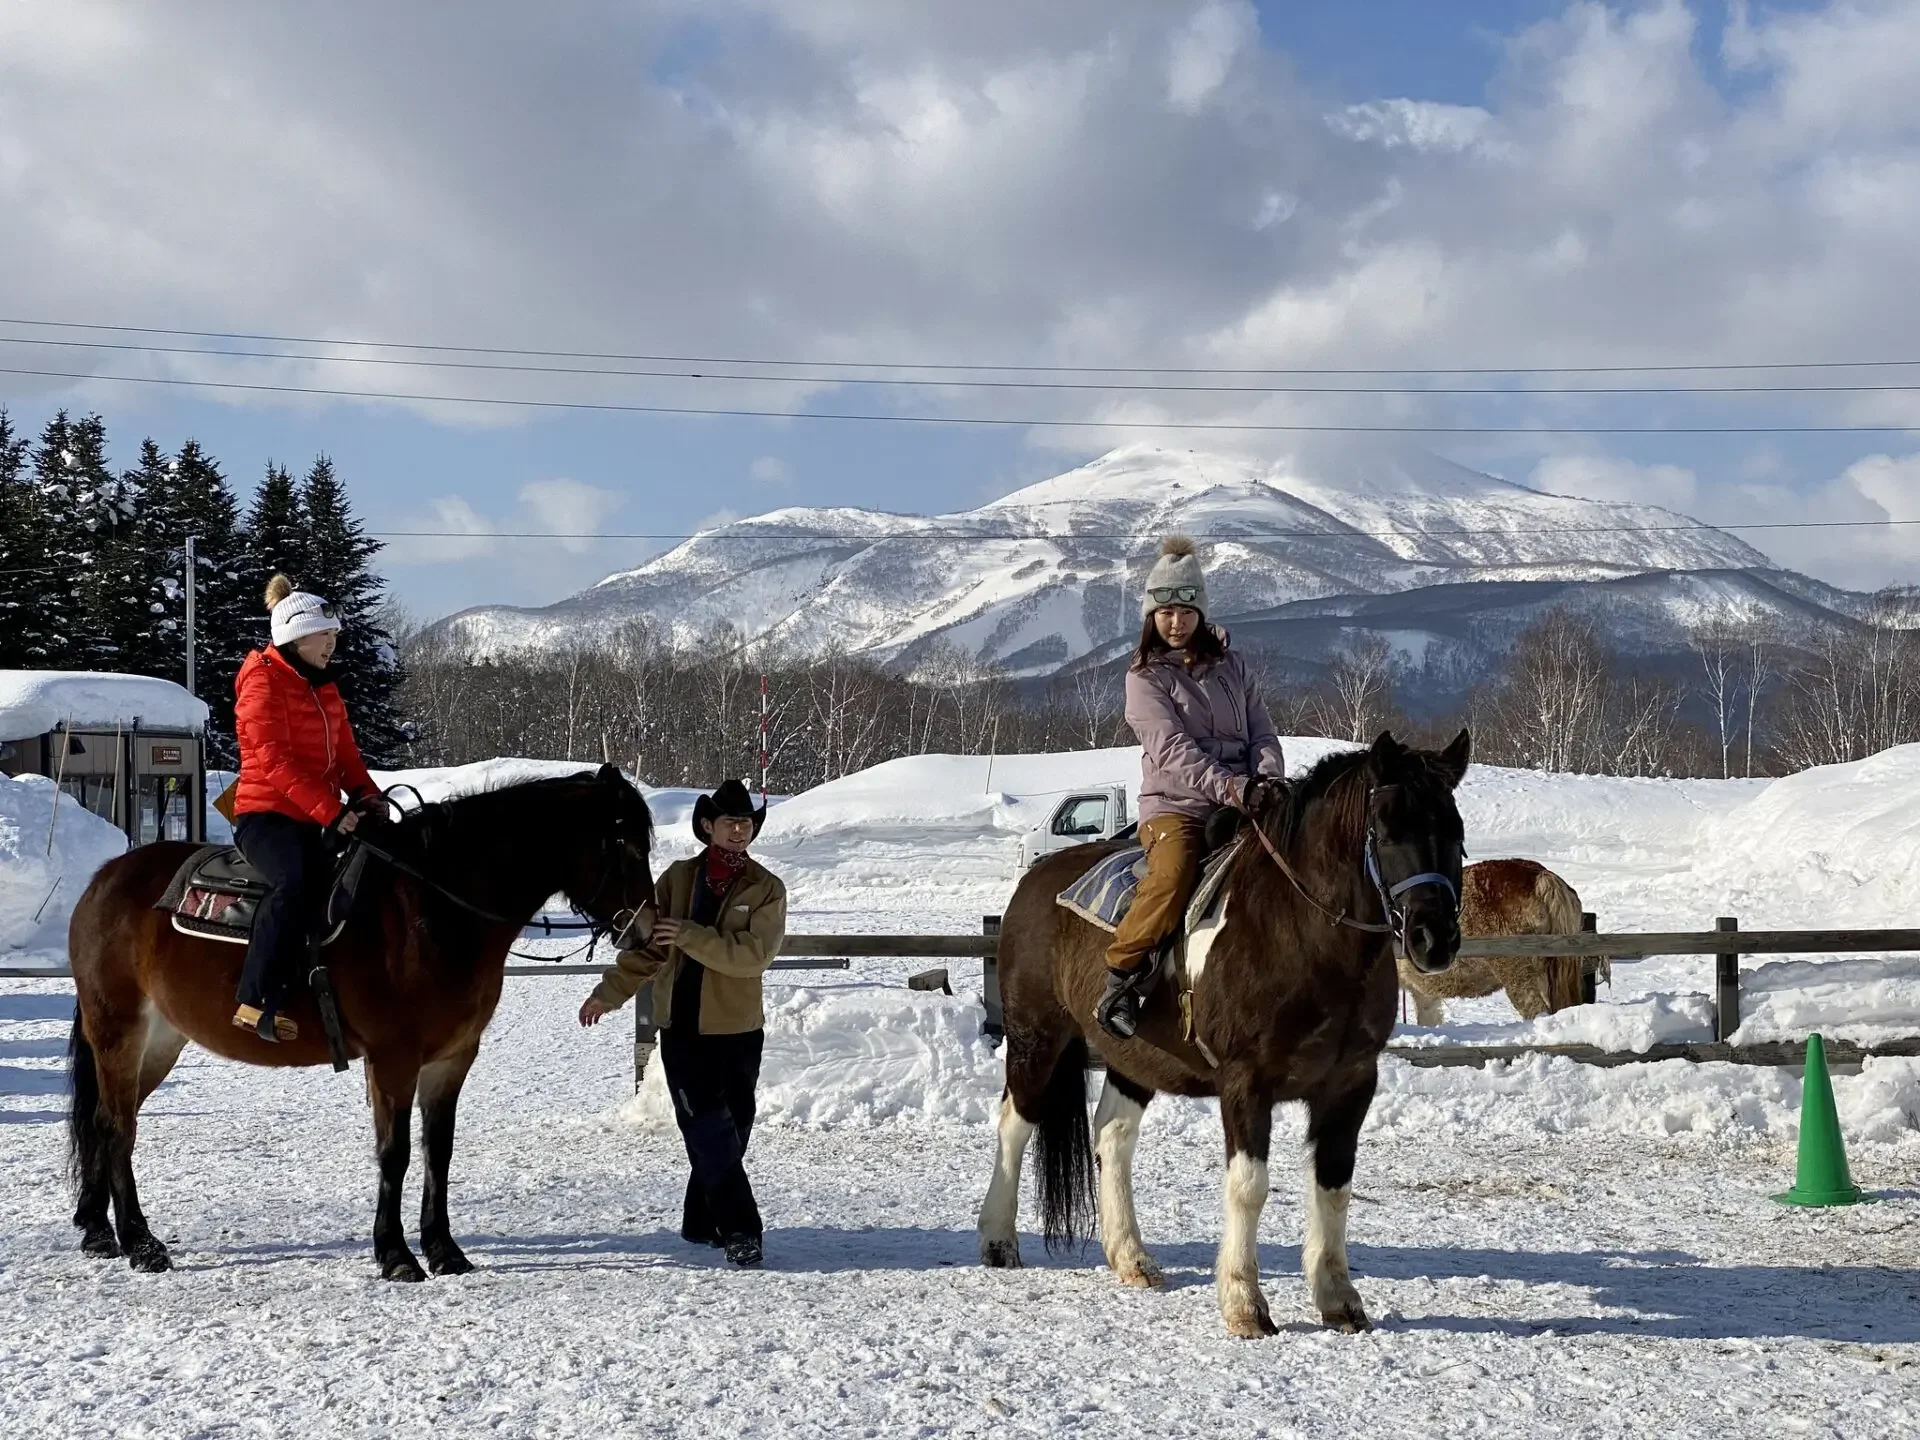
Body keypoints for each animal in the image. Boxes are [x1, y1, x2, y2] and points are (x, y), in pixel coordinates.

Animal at [65, 764, 656, 1280]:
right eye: (624, 844)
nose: (646, 928)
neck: (434, 908)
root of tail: (105, 881)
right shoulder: (393, 1058)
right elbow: (394, 1153)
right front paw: (395, 1254)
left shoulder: (452, 1058)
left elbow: (437, 1150)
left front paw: (444, 1249)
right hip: (119, 1033)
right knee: (117, 1128)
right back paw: (141, 1243)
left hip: (161, 1041)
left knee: (104, 1121)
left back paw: (98, 1232)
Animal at [978, 730, 1470, 1338]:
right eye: (1387, 827)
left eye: (1455, 832)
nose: (1433, 939)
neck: (1304, 936)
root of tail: (1035, 882)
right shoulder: (1245, 1082)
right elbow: (1249, 1186)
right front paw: (1244, 1303)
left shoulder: (1351, 1083)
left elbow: (1334, 1186)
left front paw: (1339, 1297)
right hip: (1036, 1037)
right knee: (1015, 1124)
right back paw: (998, 1241)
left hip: (1132, 1055)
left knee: (1112, 1135)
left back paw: (1131, 1257)